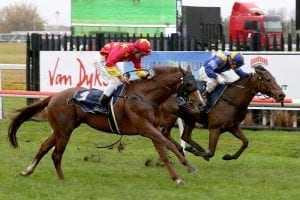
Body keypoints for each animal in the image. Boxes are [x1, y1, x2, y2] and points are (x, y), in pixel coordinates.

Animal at [7, 66, 202, 185]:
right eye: (189, 84)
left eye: (198, 83)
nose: (201, 103)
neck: (145, 96)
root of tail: (53, 97)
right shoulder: (146, 129)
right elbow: (170, 144)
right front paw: (190, 167)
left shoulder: (151, 130)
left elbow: (164, 152)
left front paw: (177, 178)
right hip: (64, 131)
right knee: (56, 154)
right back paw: (62, 180)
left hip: (61, 129)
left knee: (44, 147)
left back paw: (27, 171)